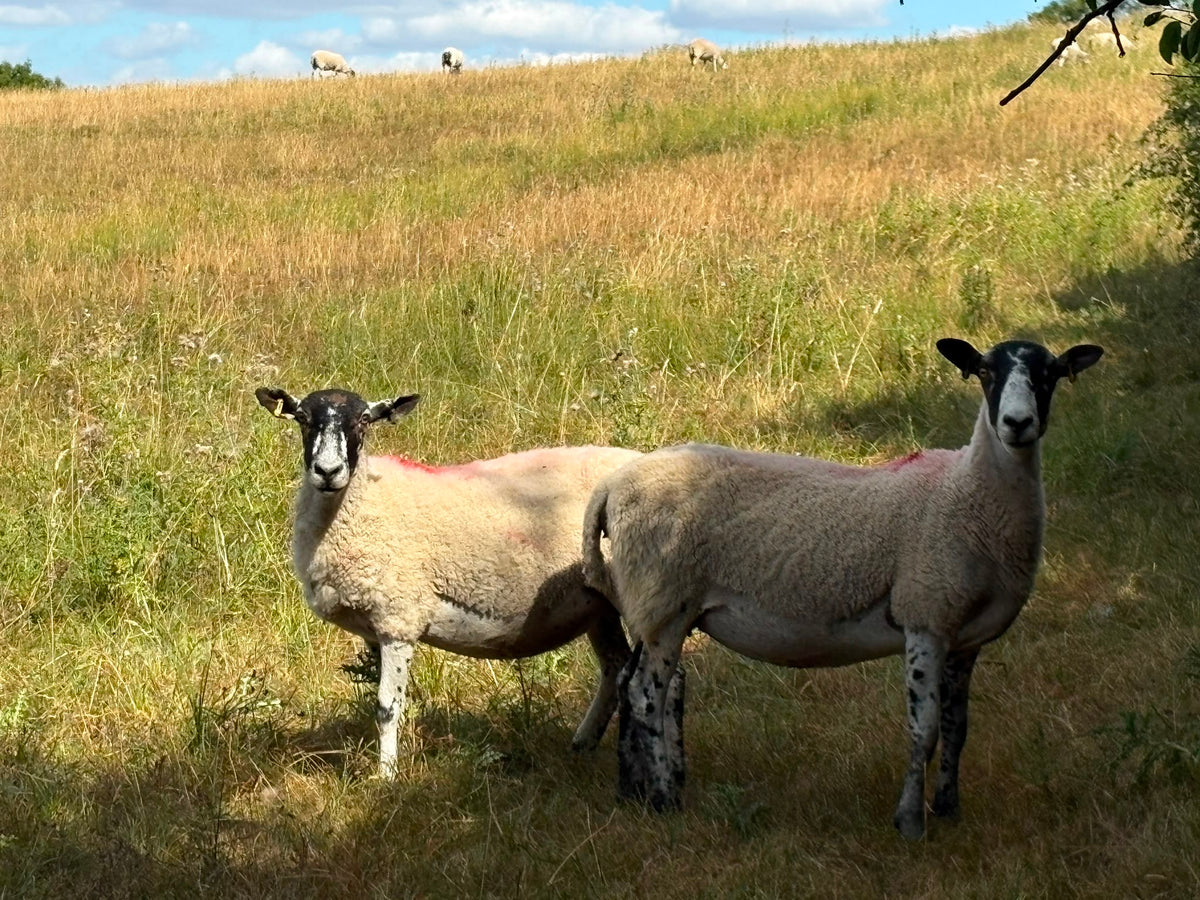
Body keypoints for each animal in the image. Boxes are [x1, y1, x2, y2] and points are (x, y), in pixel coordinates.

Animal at [256, 386, 641, 777]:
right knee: (616, 667)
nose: (328, 471)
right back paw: (582, 746)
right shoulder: (374, 627)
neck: (366, 504)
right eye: (302, 418)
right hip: (597, 604)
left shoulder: (399, 618)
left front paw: (387, 775)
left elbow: (386, 707)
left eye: (363, 420)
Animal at [582, 338, 1103, 839]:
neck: (967, 494)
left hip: (658, 607)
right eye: (985, 372)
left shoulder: (964, 637)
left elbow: (958, 729)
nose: (1018, 423)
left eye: (1050, 373)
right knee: (646, 695)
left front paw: (949, 808)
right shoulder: (925, 616)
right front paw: (910, 822)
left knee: (644, 684)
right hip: (664, 600)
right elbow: (926, 731)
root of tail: (611, 486)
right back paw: (664, 799)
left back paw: (637, 789)